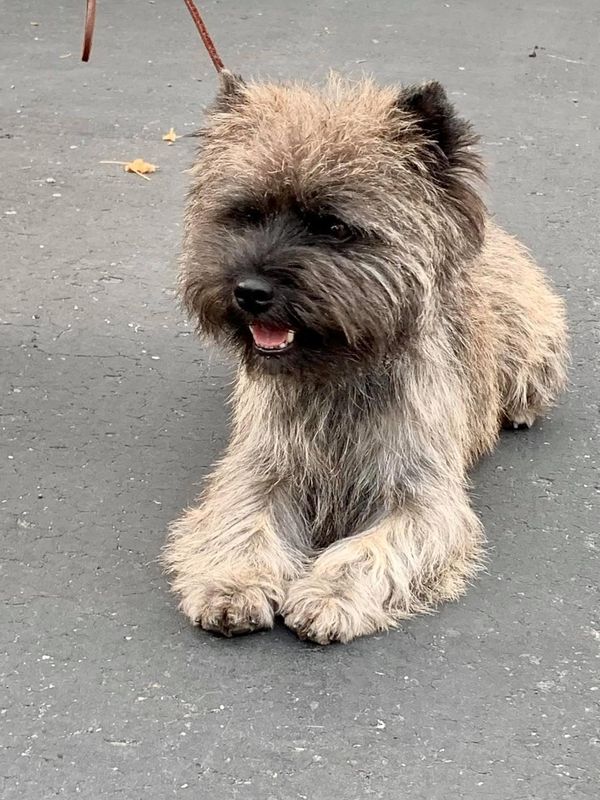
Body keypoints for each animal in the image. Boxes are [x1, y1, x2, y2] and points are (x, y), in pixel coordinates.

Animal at [162, 72, 567, 644]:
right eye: (247, 214)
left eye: (334, 227)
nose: (250, 291)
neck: (337, 375)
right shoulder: (261, 469)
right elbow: (243, 521)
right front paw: (233, 583)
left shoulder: (420, 497)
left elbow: (370, 550)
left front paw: (330, 595)